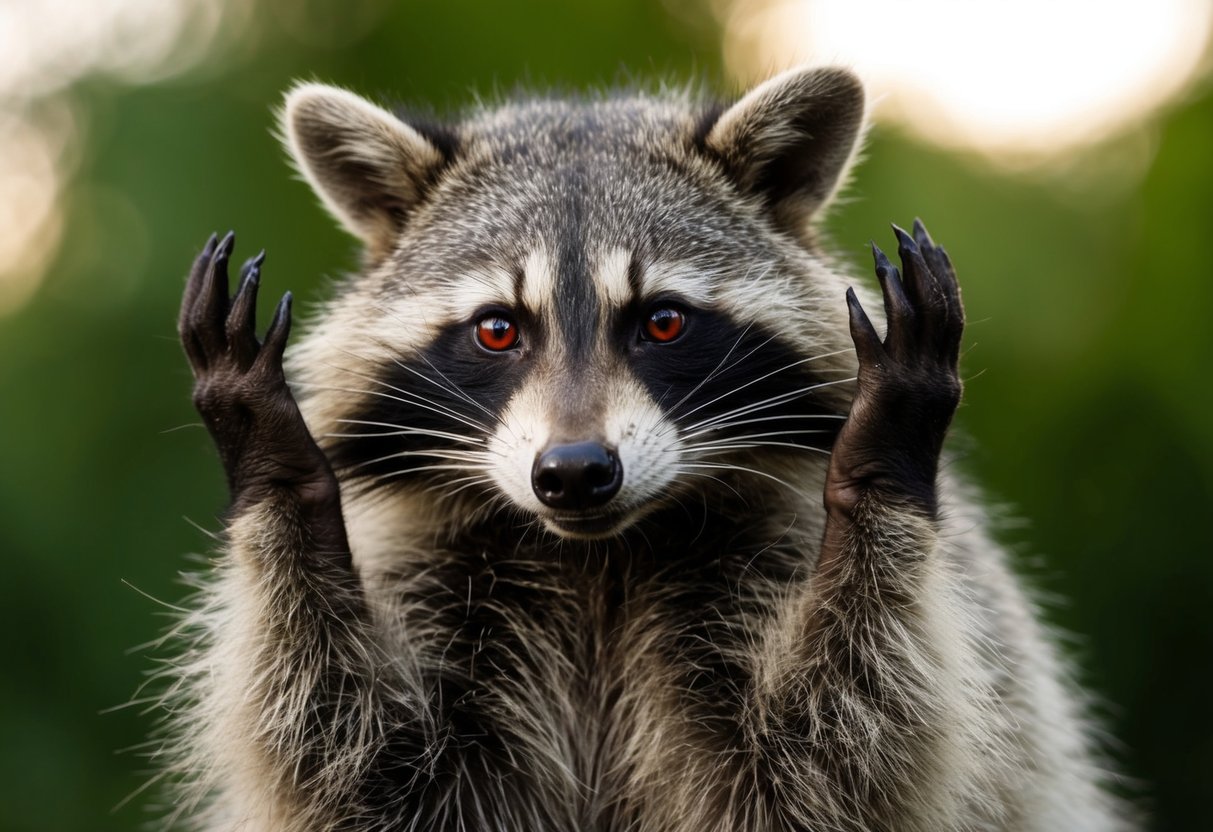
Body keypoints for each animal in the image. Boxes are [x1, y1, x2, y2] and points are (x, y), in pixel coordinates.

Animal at [165, 67, 1133, 830]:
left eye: (662, 321)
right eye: (496, 330)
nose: (573, 473)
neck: (599, 559)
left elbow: (836, 747)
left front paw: (876, 456)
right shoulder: (415, 560)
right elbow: (355, 757)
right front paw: (280, 463)